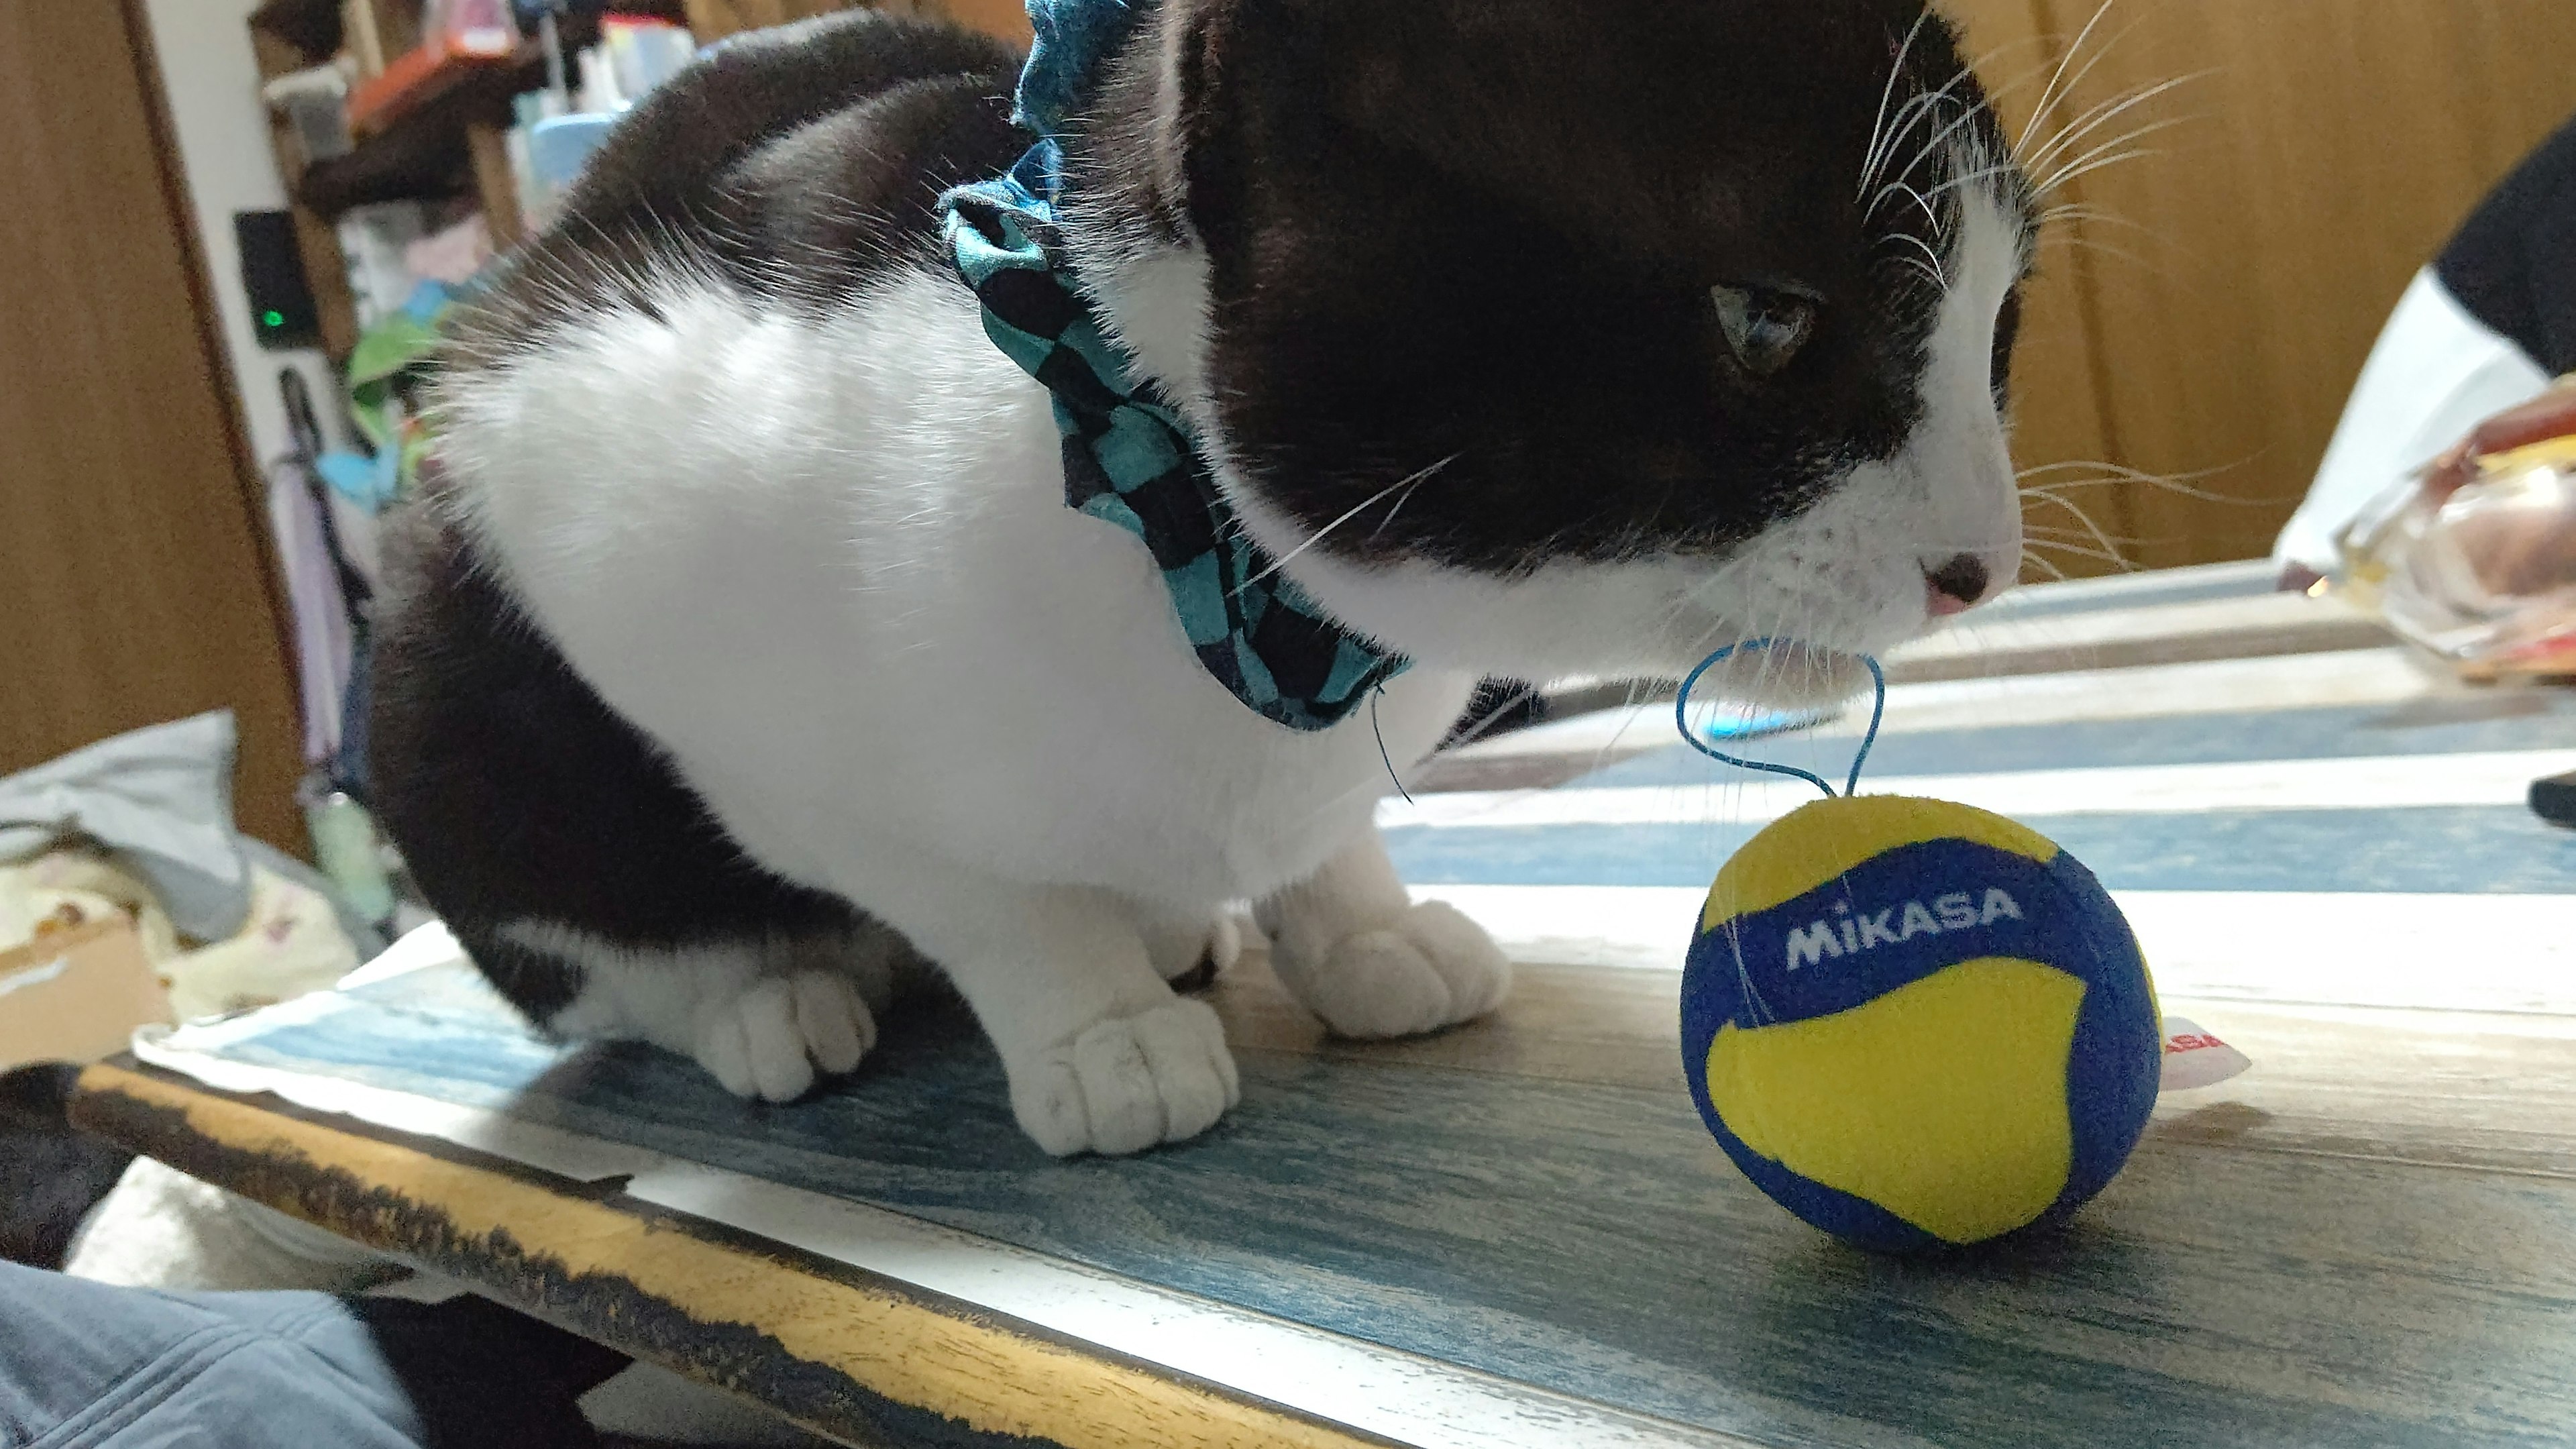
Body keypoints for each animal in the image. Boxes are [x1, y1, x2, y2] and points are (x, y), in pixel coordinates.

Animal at [376, 0, 2029, 1150]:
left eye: (1999, 328)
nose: (1986, 566)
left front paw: (1361, 932)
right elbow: (974, 890)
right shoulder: (611, 513)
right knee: (598, 938)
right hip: (442, 672)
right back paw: (769, 996)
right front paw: (1093, 1026)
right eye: (1768, 320)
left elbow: (1324, 845)